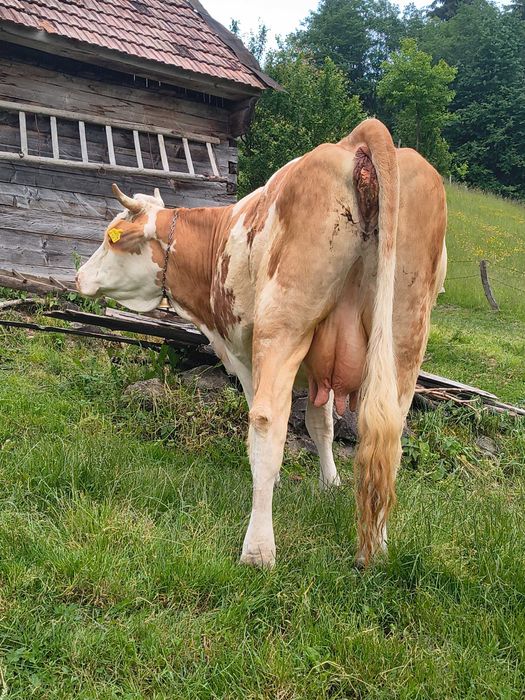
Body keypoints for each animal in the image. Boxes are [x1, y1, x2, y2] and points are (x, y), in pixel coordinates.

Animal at [77, 119, 447, 568]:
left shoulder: (245, 353)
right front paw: (331, 483)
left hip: (282, 323)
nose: (78, 276)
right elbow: (321, 425)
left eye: (110, 238)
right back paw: (378, 545)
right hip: (405, 336)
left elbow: (269, 429)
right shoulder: (318, 368)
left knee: (268, 423)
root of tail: (360, 138)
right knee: (387, 437)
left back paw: (258, 550)